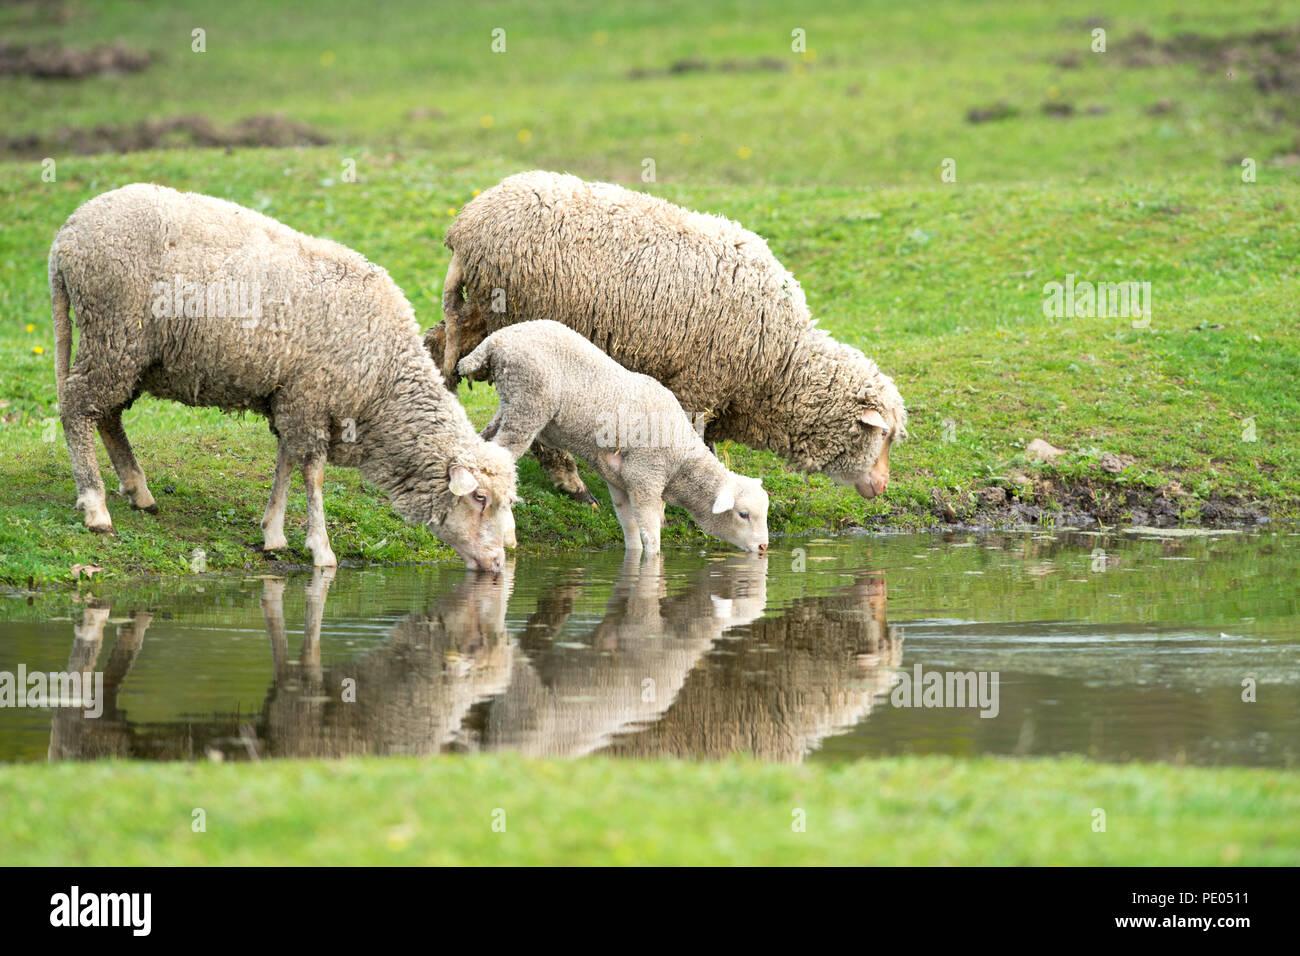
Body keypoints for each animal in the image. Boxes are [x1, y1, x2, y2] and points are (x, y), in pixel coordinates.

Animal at [49, 183, 516, 571]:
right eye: (479, 498)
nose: (497, 563)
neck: (382, 385)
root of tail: (67, 235)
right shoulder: (311, 397)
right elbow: (313, 472)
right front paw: (321, 548)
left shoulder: (292, 397)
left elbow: (285, 462)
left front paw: (273, 533)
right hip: (113, 331)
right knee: (77, 408)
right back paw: (95, 507)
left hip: (127, 350)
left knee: (107, 414)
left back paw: (138, 490)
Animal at [426, 169, 908, 507]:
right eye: (881, 436)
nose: (882, 487)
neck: (776, 365)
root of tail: (466, 226)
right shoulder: (701, 382)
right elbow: (695, 441)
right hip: (522, 324)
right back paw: (571, 483)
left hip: (481, 313)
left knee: (437, 346)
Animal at [456, 320, 769, 556]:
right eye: (743, 514)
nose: (764, 547)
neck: (680, 462)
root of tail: (495, 341)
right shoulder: (645, 480)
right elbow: (651, 536)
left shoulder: (620, 482)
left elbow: (629, 529)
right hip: (528, 403)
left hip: (510, 404)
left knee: (481, 447)